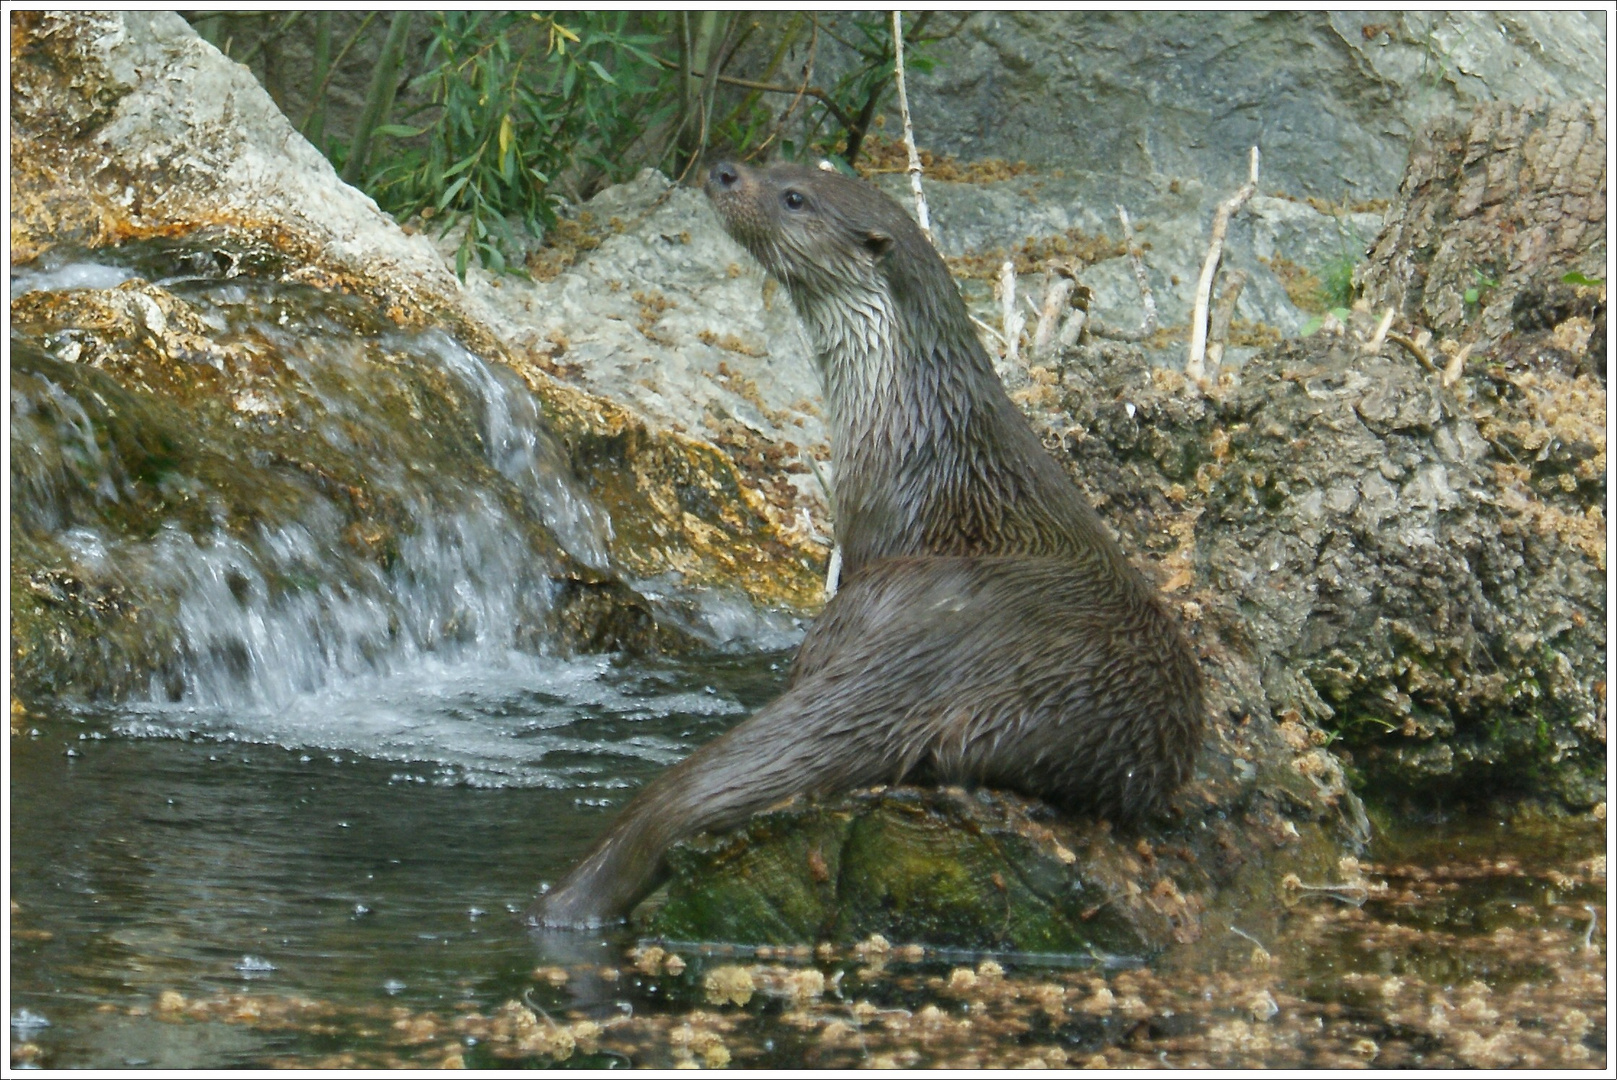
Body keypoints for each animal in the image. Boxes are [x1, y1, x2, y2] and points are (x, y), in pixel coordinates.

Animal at [530, 160, 1203, 931]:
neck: (911, 417)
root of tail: (955, 644)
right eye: (778, 168)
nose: (726, 169)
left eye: (794, 198)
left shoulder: (870, 531)